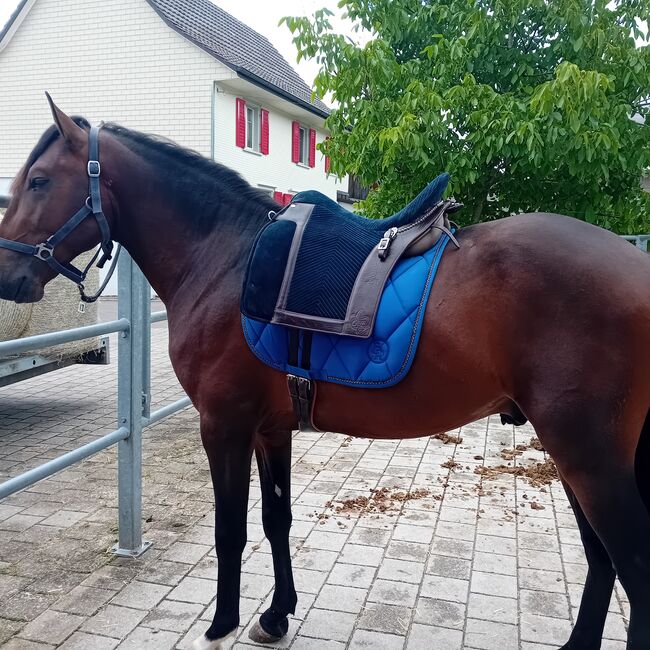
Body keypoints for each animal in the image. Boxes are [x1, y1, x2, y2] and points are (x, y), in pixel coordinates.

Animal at [0, 97, 644, 648]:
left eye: (39, 181)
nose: (9, 276)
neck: (223, 259)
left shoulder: (224, 425)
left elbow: (230, 529)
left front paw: (222, 623)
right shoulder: (271, 428)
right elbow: (276, 519)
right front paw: (276, 615)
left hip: (587, 453)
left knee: (629, 563)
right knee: (602, 558)